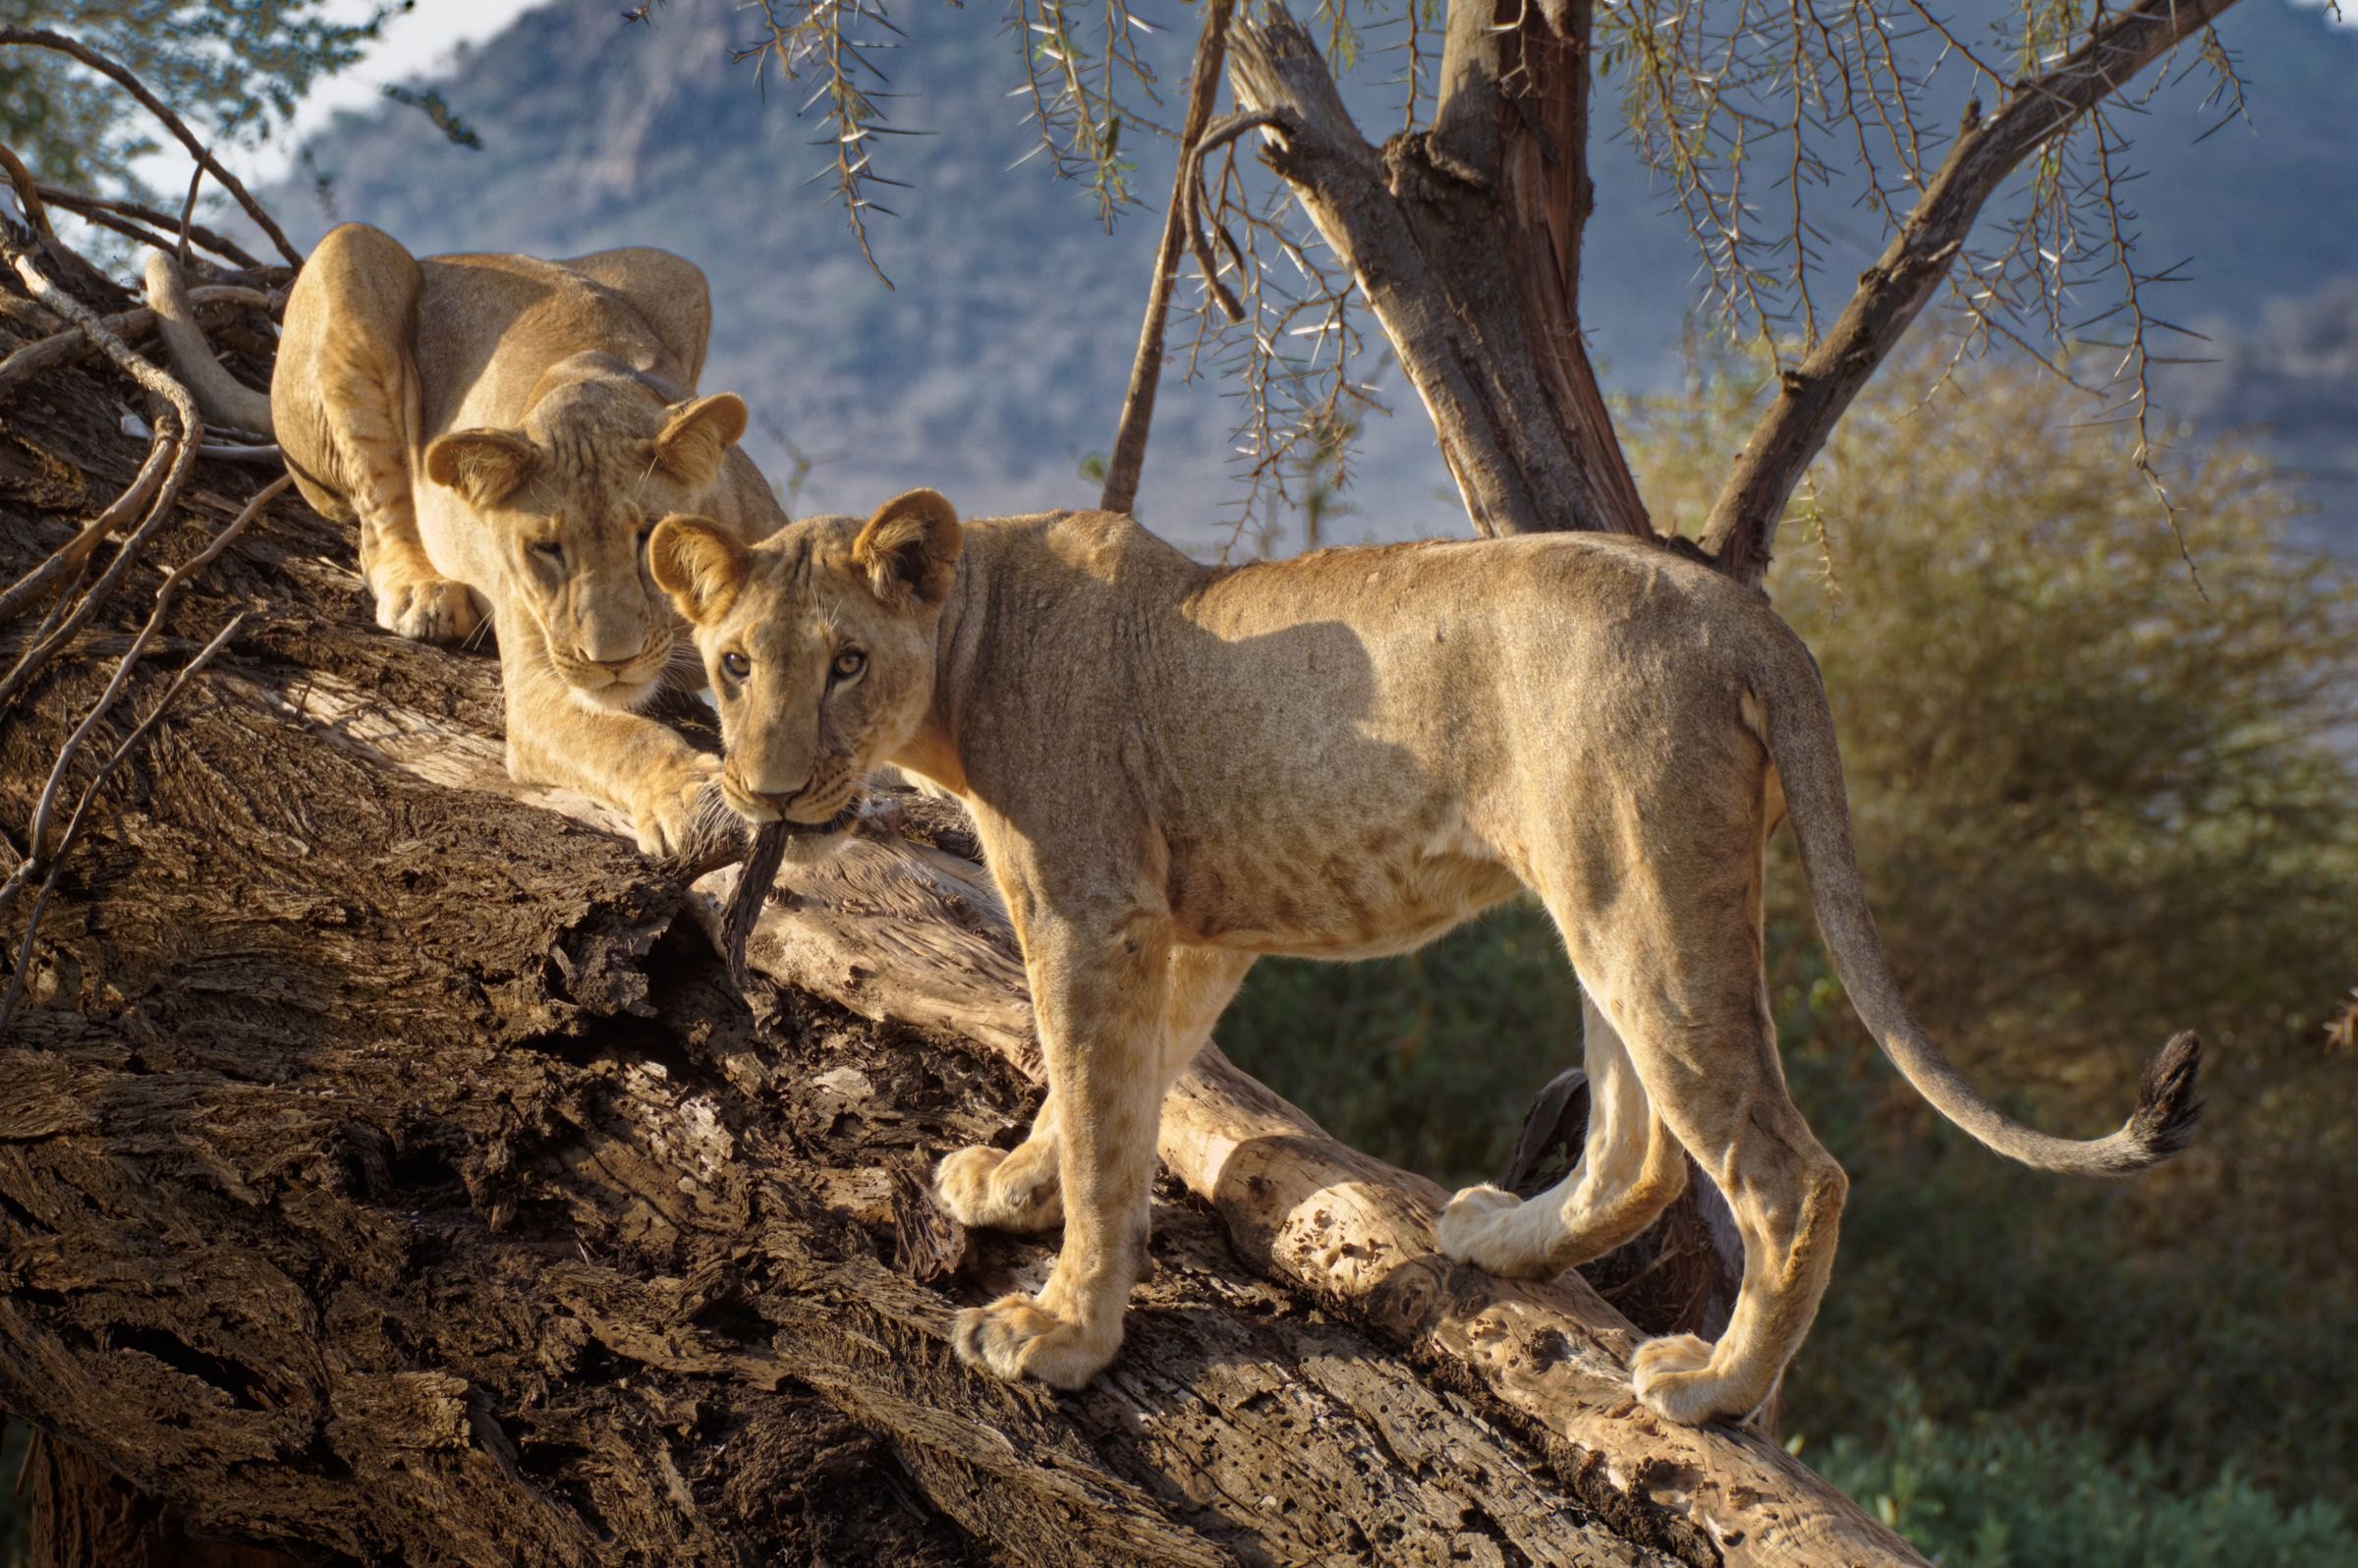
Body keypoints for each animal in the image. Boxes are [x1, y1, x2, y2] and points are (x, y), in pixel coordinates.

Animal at [145, 224, 785, 855]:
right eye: (547, 549)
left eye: (648, 536)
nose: (613, 662)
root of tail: (446, 256)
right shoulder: (536, 690)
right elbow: (623, 737)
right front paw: (691, 798)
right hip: (350, 255)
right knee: (378, 519)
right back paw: (423, 594)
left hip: (677, 272)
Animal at [646, 490, 2202, 1426]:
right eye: (734, 664)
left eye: (847, 662)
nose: (770, 789)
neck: (967, 649)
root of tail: (1745, 613)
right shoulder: (1186, 928)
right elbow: (1114, 1101)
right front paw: (1016, 1194)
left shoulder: (1095, 912)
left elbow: (1096, 1112)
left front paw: (1061, 1336)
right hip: (1604, 886)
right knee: (1641, 1146)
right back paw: (1502, 1239)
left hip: (1641, 884)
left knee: (1784, 1171)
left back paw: (1711, 1388)